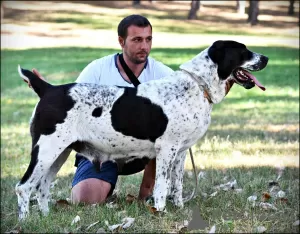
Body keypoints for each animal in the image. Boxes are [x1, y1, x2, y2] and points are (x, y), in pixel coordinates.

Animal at [15, 39, 268, 219]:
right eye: (243, 51)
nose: (265, 57)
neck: (197, 85)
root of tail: (48, 88)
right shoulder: (167, 149)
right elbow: (162, 186)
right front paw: (161, 212)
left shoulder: (181, 152)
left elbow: (177, 185)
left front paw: (179, 209)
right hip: (46, 150)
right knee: (24, 187)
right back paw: (25, 221)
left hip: (59, 153)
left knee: (42, 186)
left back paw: (45, 217)